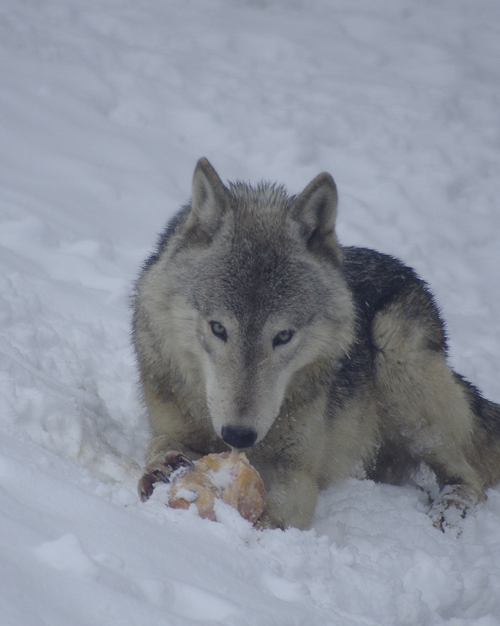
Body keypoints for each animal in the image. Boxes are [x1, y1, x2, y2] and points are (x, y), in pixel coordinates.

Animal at [133, 156, 500, 528]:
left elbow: (277, 517)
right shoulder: (172, 426)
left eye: (283, 336)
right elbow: (158, 443)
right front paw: (162, 467)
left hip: (398, 361)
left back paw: (448, 512)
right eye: (218, 328)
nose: (238, 435)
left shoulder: (298, 473)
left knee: (468, 476)